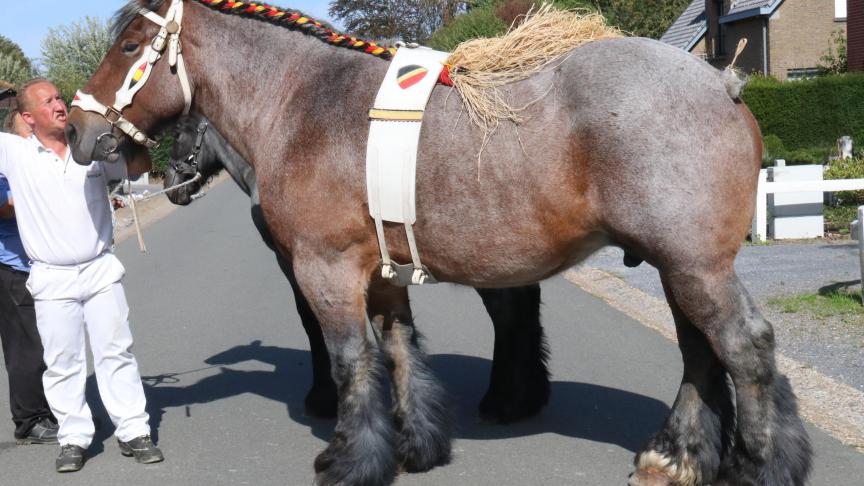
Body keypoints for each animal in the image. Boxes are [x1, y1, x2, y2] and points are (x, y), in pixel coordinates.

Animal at [164, 114, 552, 422]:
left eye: (178, 133)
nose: (169, 188)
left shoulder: (295, 261)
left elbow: (311, 321)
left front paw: (322, 398)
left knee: (508, 314)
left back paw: (503, 402)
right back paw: (527, 396)